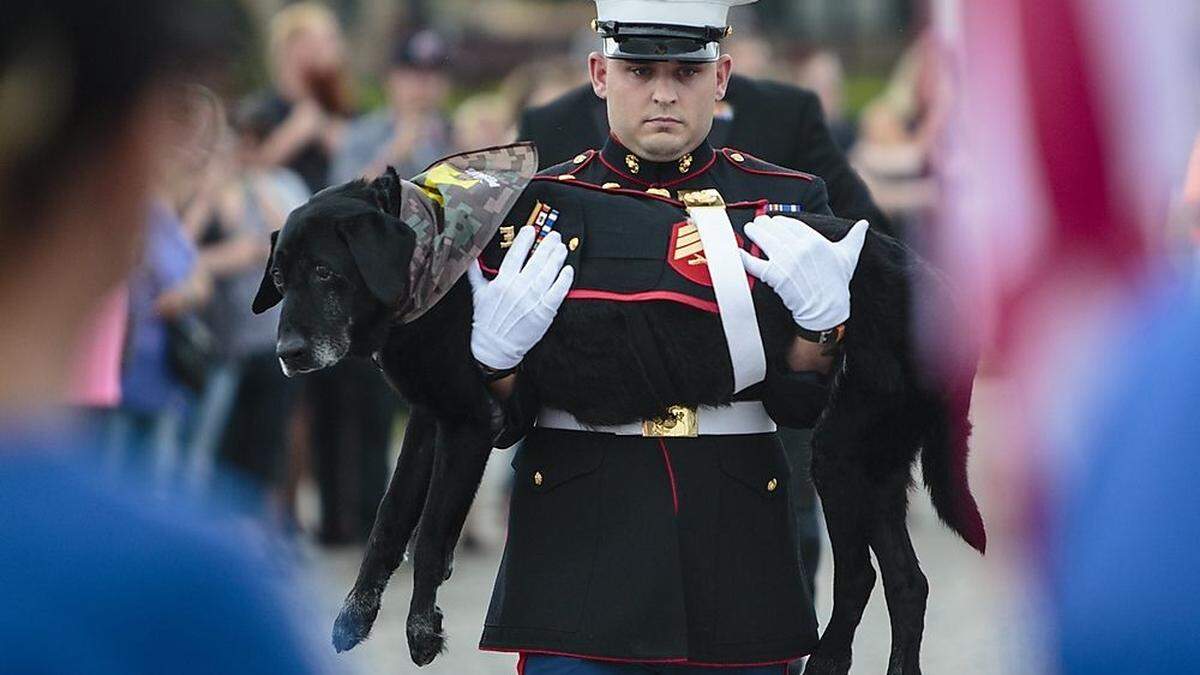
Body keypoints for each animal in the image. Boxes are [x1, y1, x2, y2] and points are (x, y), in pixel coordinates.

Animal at [255, 144, 984, 667]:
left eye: (326, 272)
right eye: (283, 277)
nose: (288, 353)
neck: (434, 242)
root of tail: (936, 283)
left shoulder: (467, 422)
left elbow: (431, 534)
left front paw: (422, 629)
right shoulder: (432, 419)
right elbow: (389, 520)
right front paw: (355, 614)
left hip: (841, 458)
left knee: (861, 576)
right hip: (872, 466)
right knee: (904, 583)